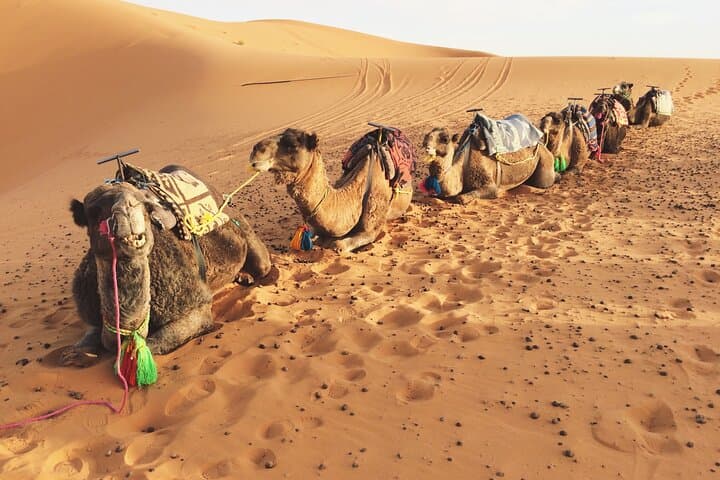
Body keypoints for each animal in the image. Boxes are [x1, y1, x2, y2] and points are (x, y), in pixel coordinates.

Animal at [67, 165, 273, 361]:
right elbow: (84, 345)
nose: (126, 209)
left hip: (246, 233)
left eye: (145, 206)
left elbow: (149, 346)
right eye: (93, 212)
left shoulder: (196, 307)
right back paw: (243, 276)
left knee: (262, 264)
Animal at [421, 117, 558, 204]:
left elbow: (461, 198)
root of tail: (541, 143)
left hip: (544, 158)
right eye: (426, 137)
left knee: (545, 181)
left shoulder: (489, 184)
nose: (426, 147)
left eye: (445, 139)